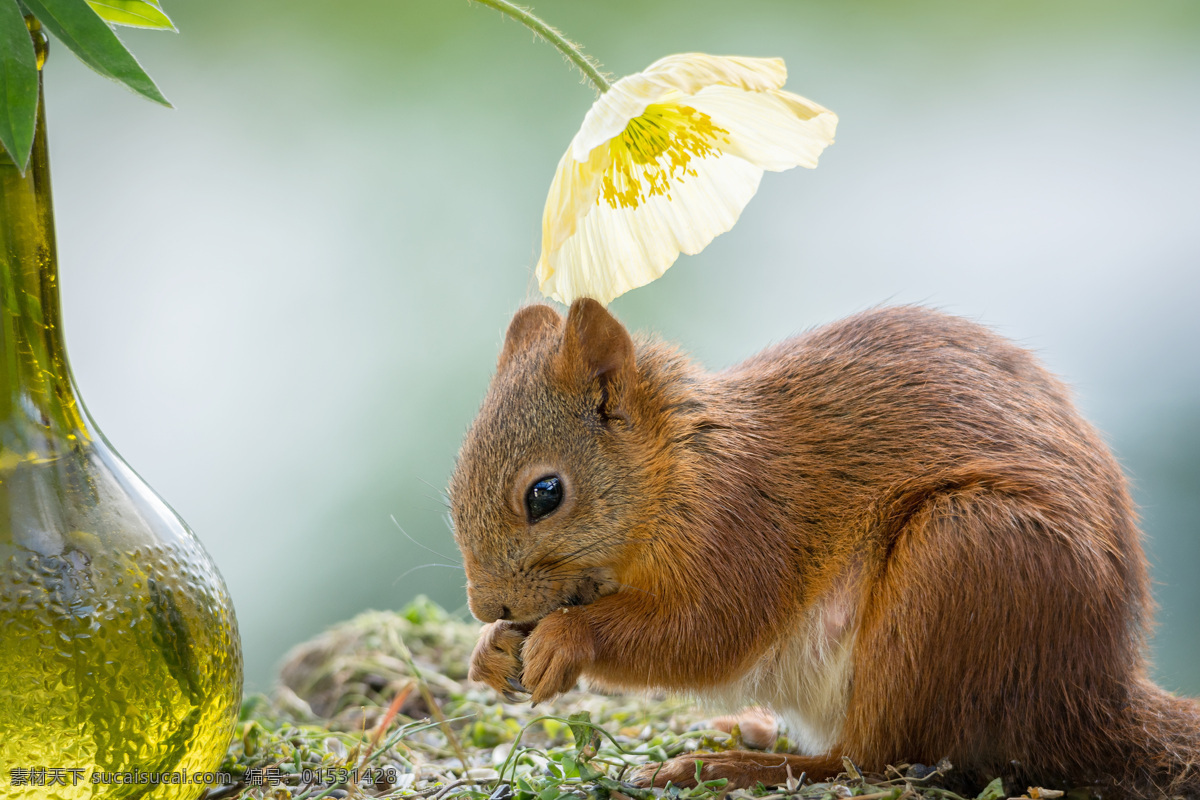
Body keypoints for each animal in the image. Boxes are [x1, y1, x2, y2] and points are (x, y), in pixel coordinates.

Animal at [448, 297, 1200, 796]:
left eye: (545, 493)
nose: (488, 608)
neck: (681, 468)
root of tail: (1092, 695)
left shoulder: (744, 527)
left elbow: (708, 633)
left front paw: (565, 639)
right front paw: (489, 654)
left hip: (960, 561)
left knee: (870, 758)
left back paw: (729, 766)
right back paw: (743, 732)